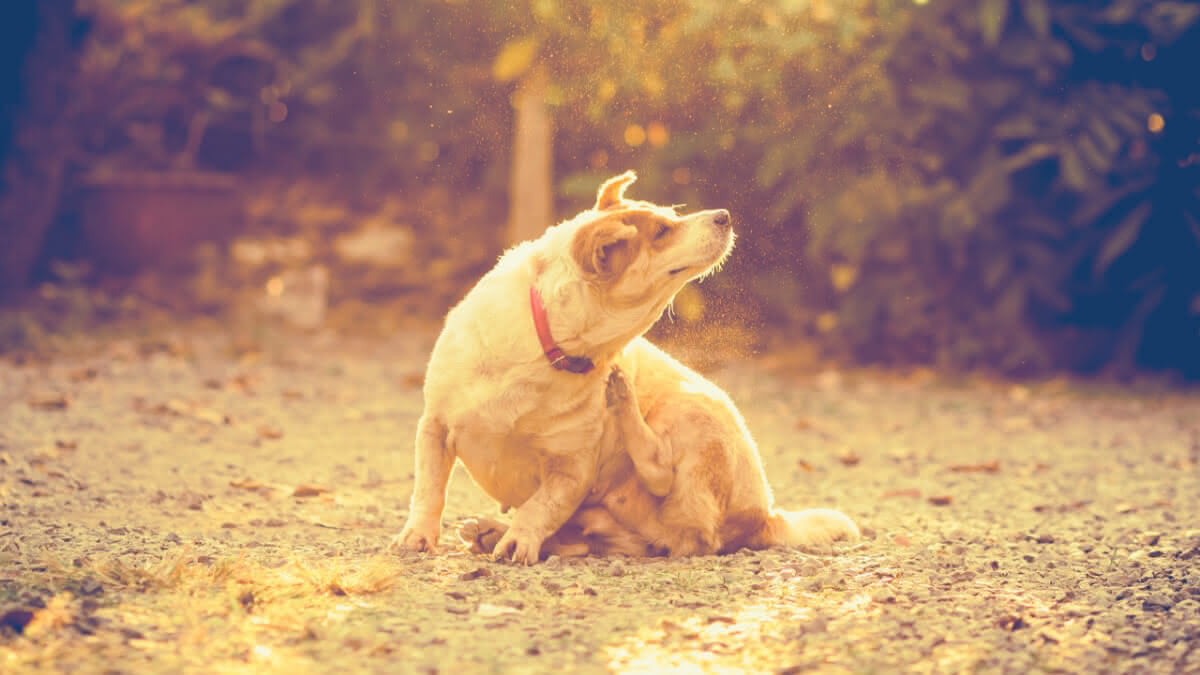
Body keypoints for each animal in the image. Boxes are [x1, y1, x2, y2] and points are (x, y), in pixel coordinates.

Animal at [391, 170, 854, 559]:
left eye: (670, 218)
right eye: (663, 231)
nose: (724, 215)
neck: (547, 346)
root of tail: (767, 516)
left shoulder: (570, 470)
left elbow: (540, 507)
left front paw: (519, 540)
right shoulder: (435, 427)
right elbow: (429, 489)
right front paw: (417, 536)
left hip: (691, 408)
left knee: (674, 498)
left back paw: (623, 402)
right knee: (589, 538)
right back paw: (490, 531)